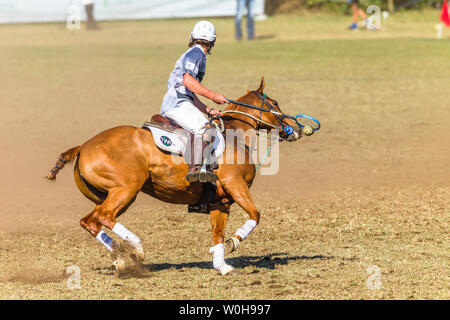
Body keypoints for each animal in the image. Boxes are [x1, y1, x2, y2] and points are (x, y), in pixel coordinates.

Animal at [47, 77, 300, 276]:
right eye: (274, 104)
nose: (294, 128)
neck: (234, 136)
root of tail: (82, 147)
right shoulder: (236, 185)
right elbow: (255, 216)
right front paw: (234, 242)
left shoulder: (220, 201)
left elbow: (217, 234)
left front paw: (223, 266)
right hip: (126, 188)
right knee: (104, 216)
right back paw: (136, 249)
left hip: (114, 194)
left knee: (90, 221)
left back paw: (122, 259)